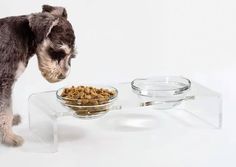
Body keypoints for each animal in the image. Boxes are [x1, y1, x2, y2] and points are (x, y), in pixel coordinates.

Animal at [0, 4, 75, 146]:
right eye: (58, 53)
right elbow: (6, 109)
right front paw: (10, 137)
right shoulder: (5, 80)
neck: (25, 36)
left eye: (72, 56)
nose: (62, 76)